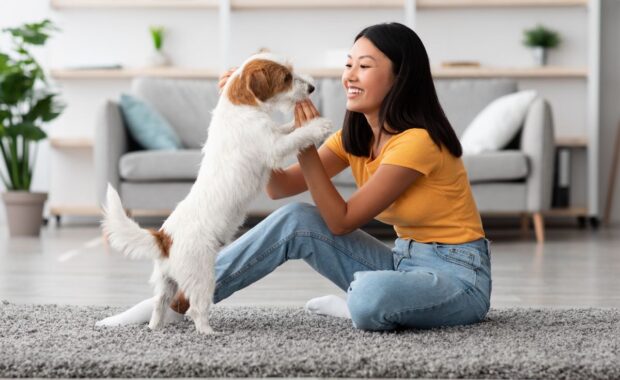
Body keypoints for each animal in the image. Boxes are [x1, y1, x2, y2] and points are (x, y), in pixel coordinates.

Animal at [101, 52, 334, 334]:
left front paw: (299, 121)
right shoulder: (273, 147)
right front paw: (318, 126)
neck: (240, 106)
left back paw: (155, 328)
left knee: (159, 304)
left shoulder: (273, 133)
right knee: (195, 310)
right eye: (286, 77)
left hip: (166, 281)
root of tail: (164, 237)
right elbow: (296, 137)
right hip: (202, 277)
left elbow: (286, 128)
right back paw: (209, 332)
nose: (312, 88)